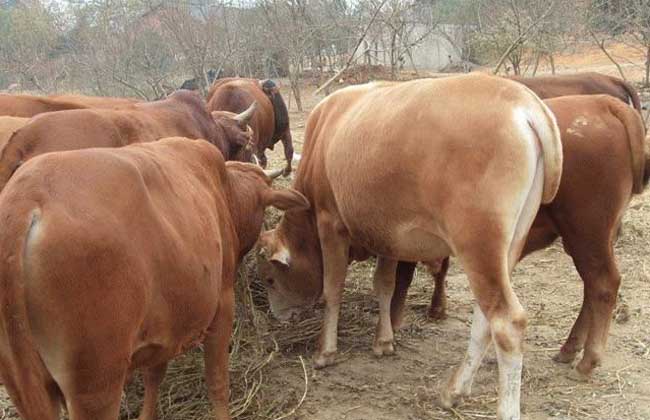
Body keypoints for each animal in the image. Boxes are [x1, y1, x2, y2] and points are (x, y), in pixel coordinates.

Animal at [0, 138, 310, 420]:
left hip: (25, 384)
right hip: (96, 387)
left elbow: (154, 376)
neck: (225, 191)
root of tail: (27, 195)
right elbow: (217, 381)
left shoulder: (165, 327)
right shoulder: (222, 304)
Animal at [388, 94, 644, 380]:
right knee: (592, 287)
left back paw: (587, 361)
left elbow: (401, 278)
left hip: (587, 234)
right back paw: (569, 349)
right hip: (590, 239)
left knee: (603, 284)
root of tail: (603, 103)